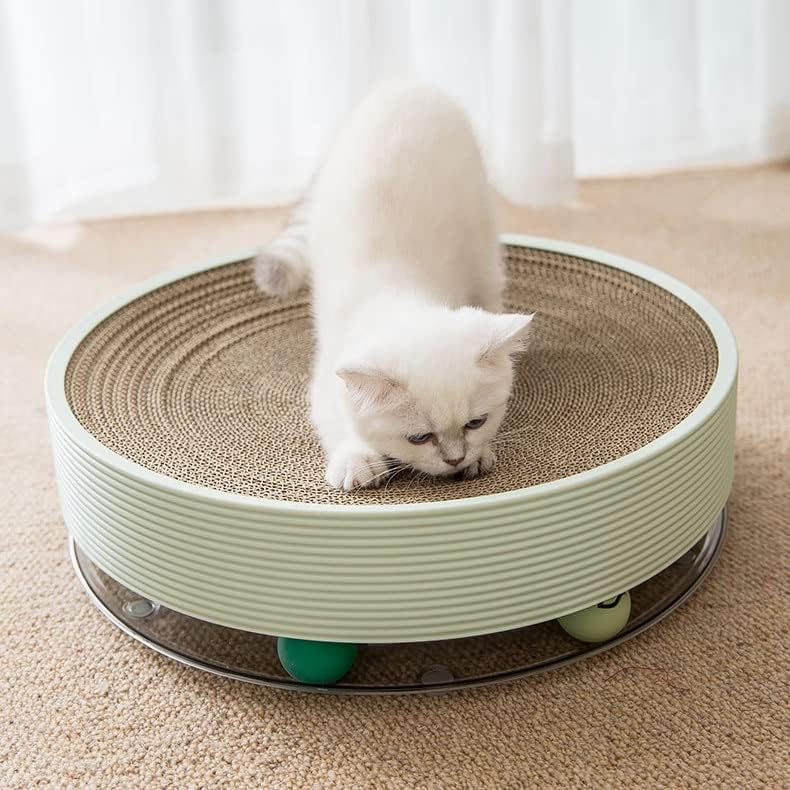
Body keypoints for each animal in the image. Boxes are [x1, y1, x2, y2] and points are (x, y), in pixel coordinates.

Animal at [253, 80, 533, 491]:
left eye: (476, 423)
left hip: (480, 236)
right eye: (419, 437)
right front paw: (356, 459)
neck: (400, 292)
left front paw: (480, 455)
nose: (455, 459)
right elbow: (335, 418)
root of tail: (407, 84)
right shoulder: (326, 377)